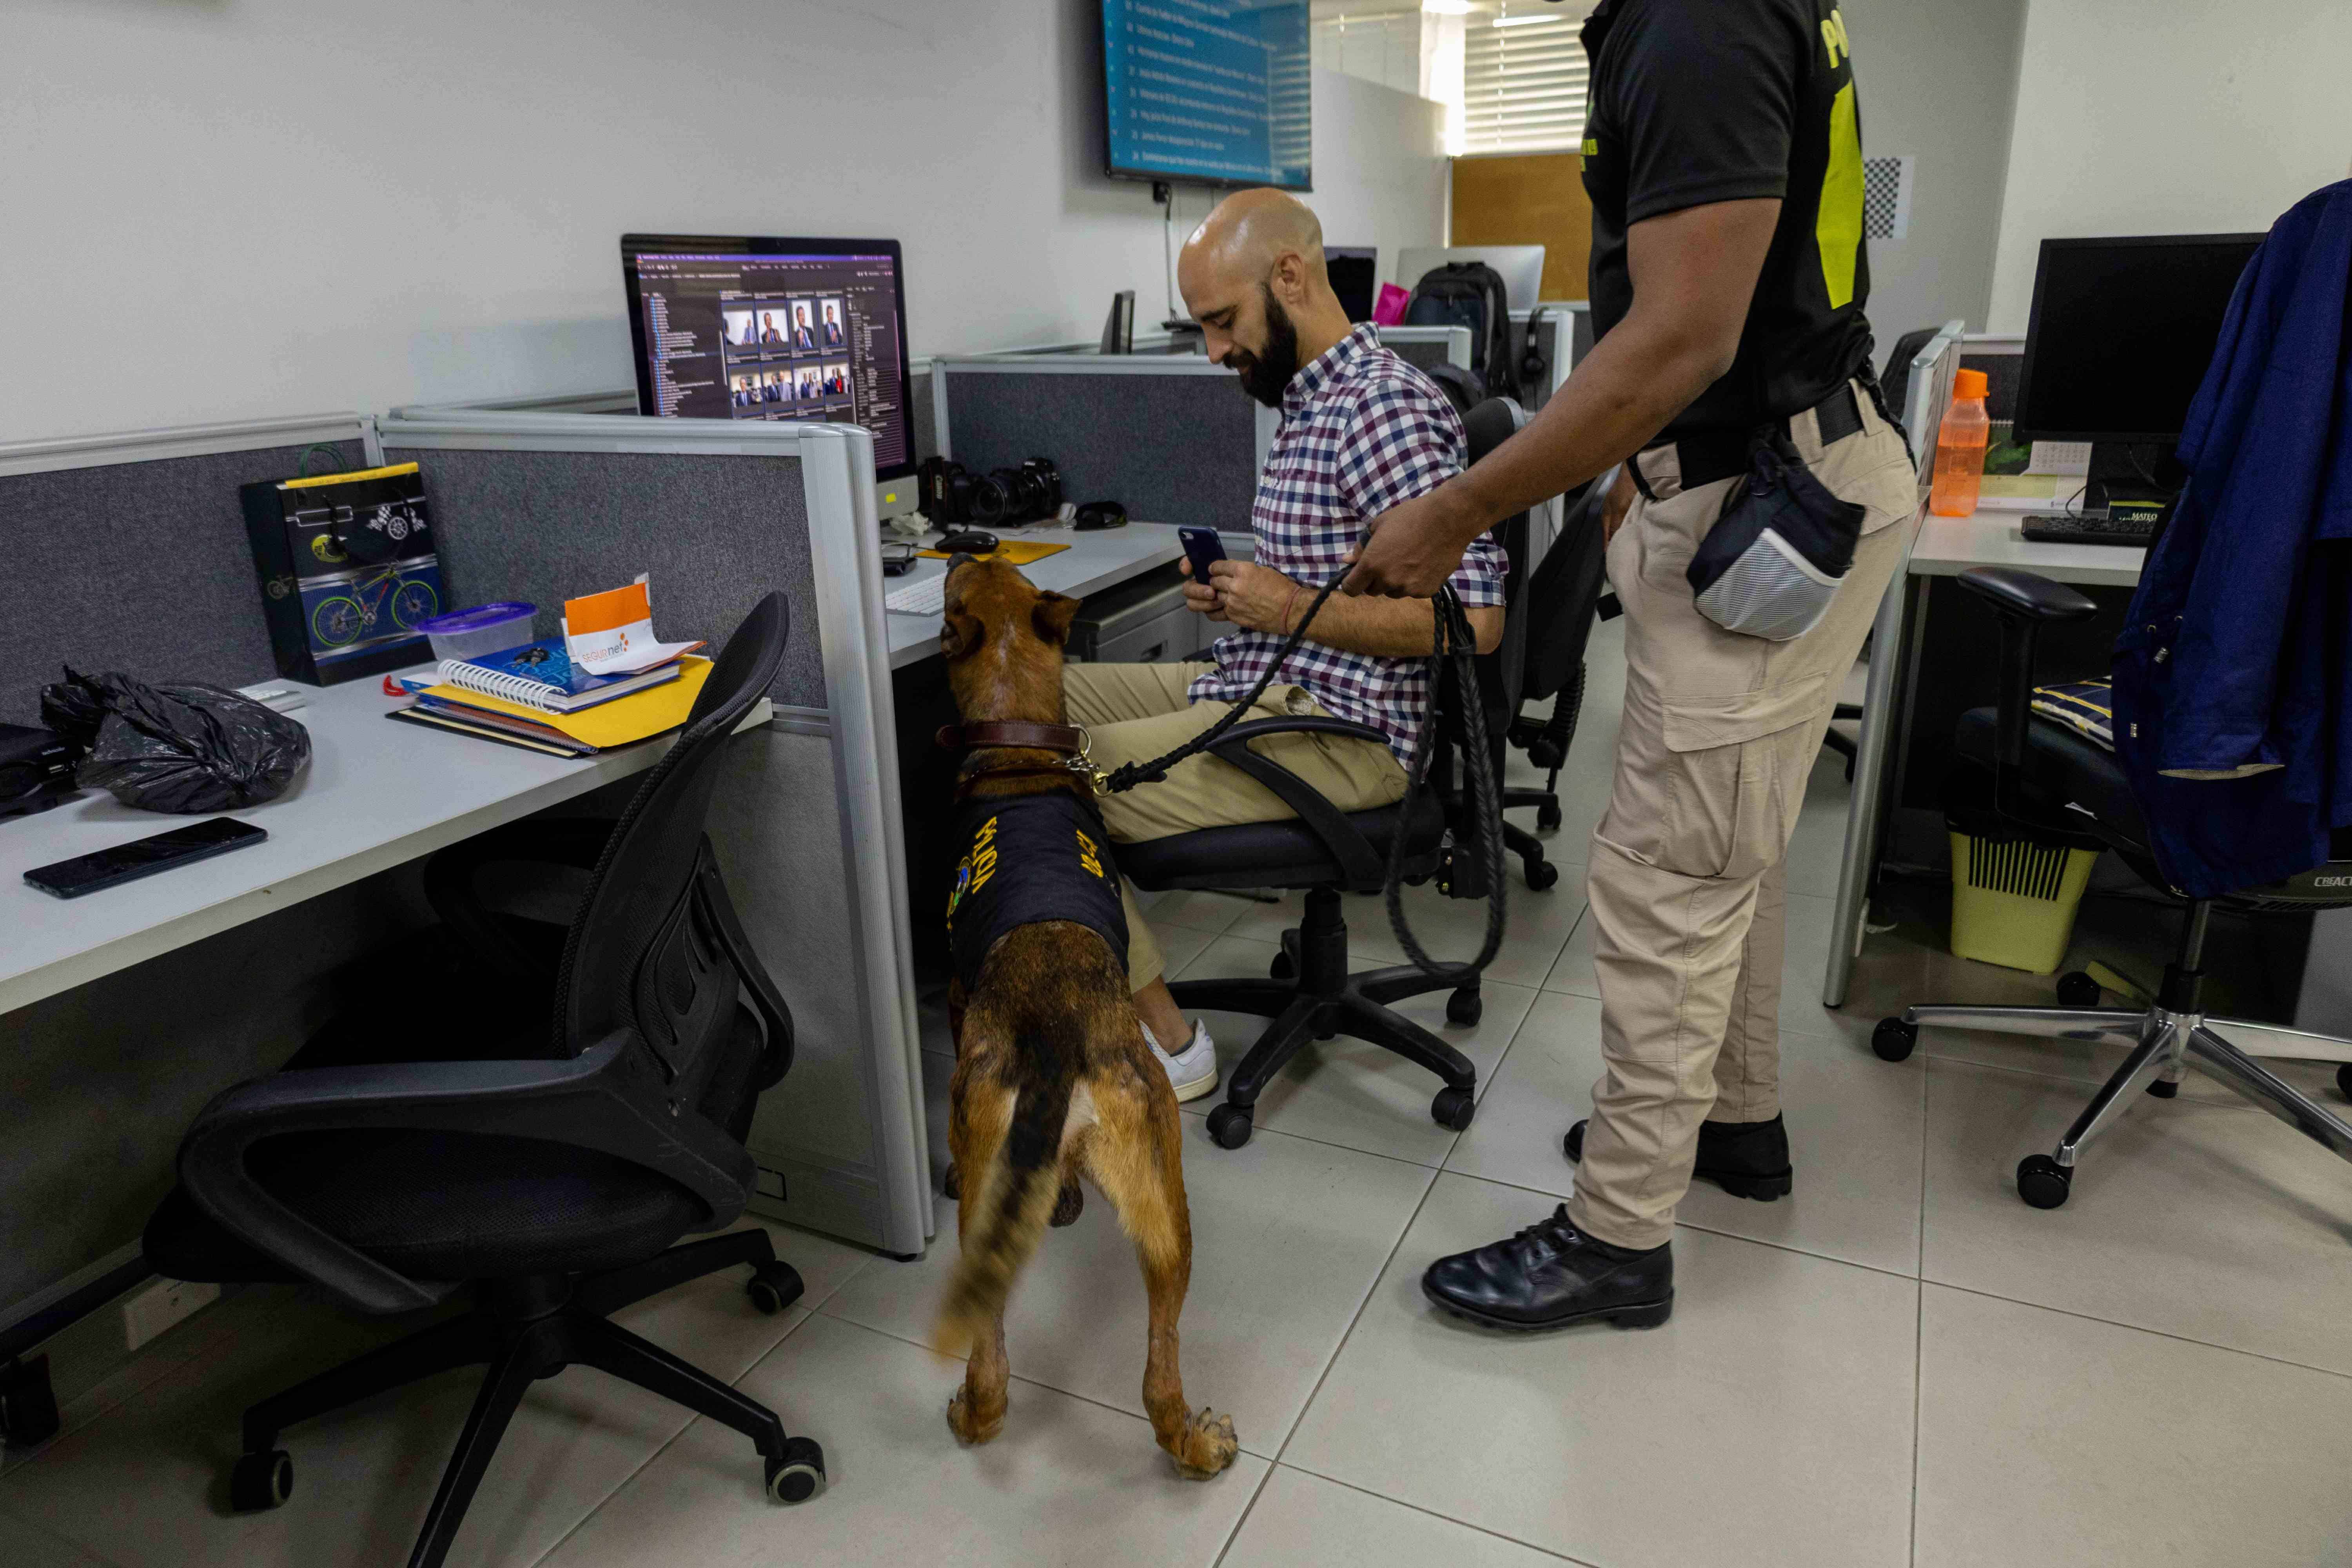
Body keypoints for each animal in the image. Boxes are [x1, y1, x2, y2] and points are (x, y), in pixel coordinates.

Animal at [927, 555, 1242, 1486]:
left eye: (965, 579)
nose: (964, 540)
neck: (1019, 742)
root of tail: (1061, 1037)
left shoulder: (952, 993)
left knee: (1005, 1365)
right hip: (1166, 1213)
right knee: (1151, 1376)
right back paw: (1196, 1444)